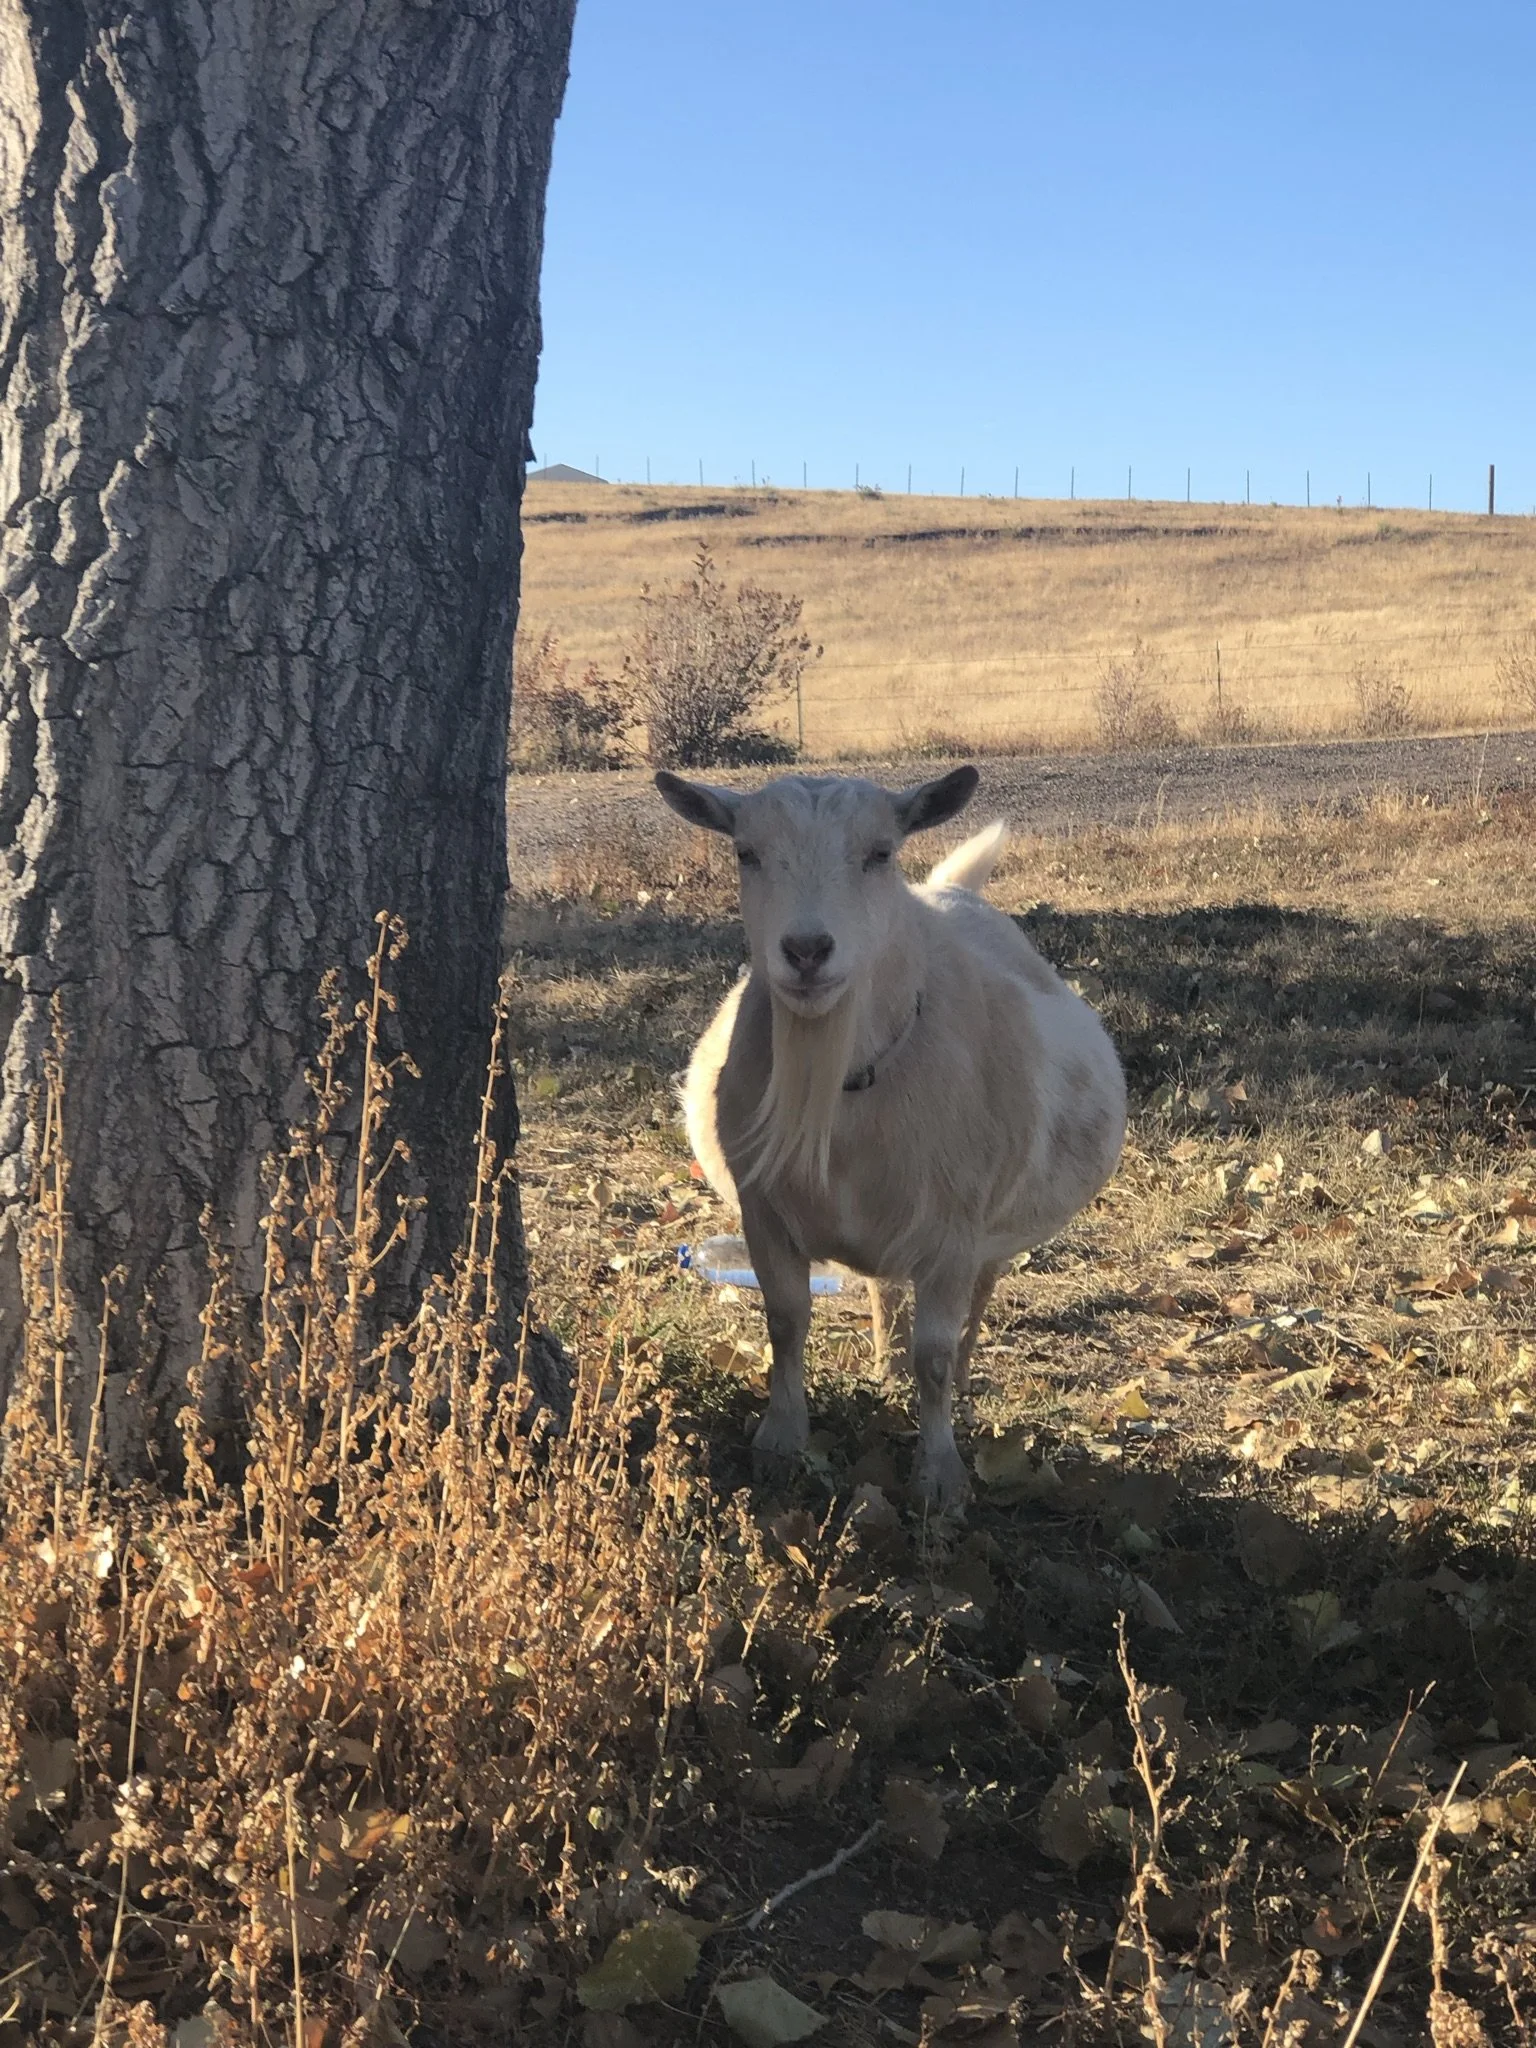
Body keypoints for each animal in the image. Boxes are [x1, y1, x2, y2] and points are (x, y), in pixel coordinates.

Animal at [656, 766, 1126, 1507]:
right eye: (746, 852)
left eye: (880, 853)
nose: (807, 951)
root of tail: (952, 892)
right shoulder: (765, 1213)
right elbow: (785, 1321)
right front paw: (780, 1441)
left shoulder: (955, 1229)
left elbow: (932, 1354)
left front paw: (941, 1477)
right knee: (884, 1290)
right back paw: (882, 1366)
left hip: (995, 1223)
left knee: (981, 1294)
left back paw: (959, 1378)